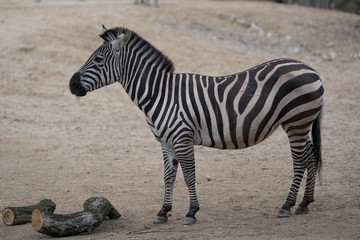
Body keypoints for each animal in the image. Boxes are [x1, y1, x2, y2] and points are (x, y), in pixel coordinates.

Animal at [69, 25, 324, 225]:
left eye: (98, 59)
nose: (71, 85)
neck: (161, 94)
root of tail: (312, 69)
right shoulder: (166, 142)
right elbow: (168, 176)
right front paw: (163, 211)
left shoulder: (182, 138)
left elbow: (189, 176)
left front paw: (191, 212)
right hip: (300, 123)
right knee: (311, 156)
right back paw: (304, 203)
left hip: (296, 122)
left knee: (299, 162)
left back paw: (287, 205)